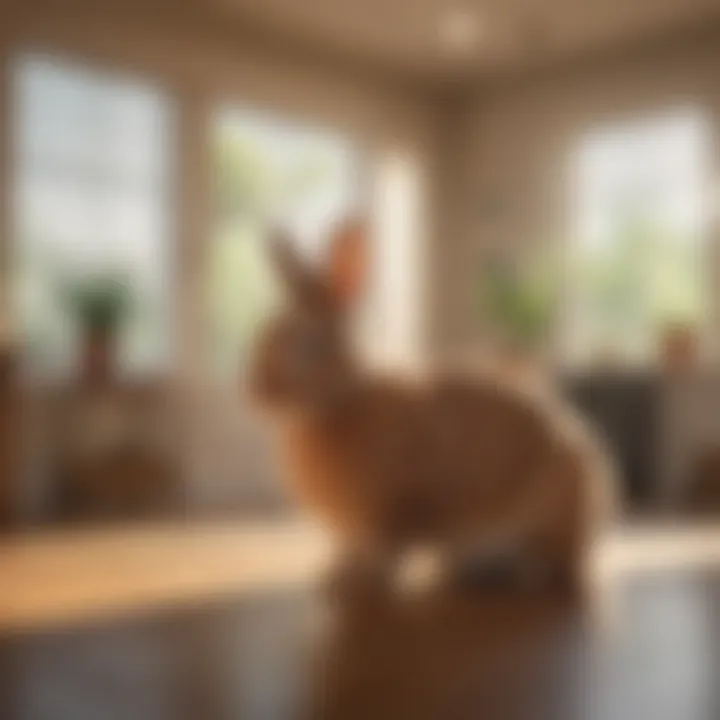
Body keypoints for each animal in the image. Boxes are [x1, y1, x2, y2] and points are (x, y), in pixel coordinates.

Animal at [248, 219, 612, 596]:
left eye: (309, 345)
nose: (256, 393)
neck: (341, 403)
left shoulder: (398, 511)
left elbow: (387, 550)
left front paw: (359, 580)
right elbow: (355, 549)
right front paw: (336, 573)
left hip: (546, 515)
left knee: (554, 564)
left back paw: (520, 574)